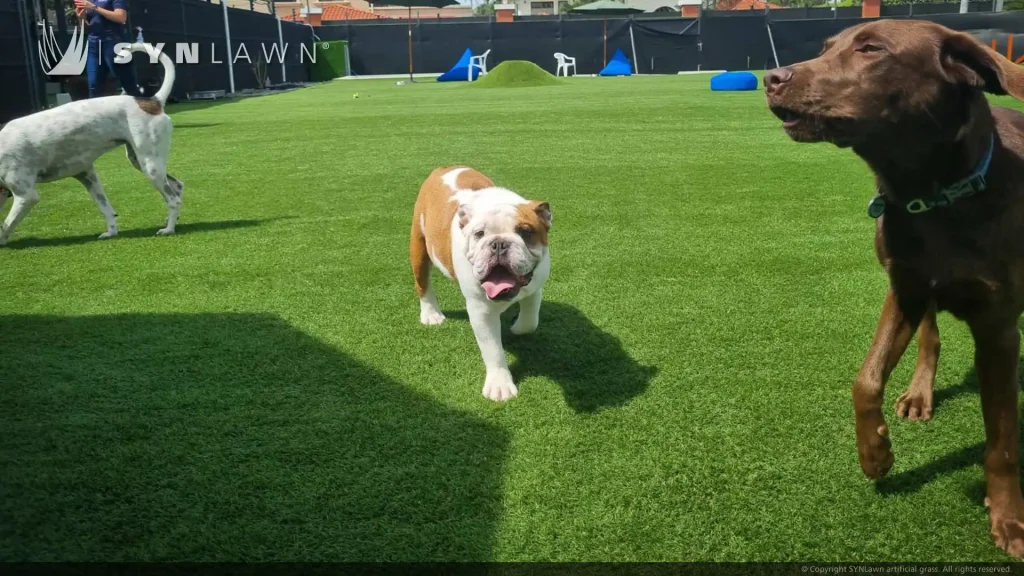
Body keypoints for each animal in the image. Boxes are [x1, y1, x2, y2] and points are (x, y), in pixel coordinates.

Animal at [0, 43, 182, 243]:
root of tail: (152, 101)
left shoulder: (26, 195)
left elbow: (6, 224)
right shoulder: (86, 175)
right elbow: (106, 209)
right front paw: (111, 232)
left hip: (150, 165)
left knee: (173, 199)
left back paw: (169, 229)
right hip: (140, 161)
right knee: (177, 187)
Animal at [409, 165, 552, 399]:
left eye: (525, 231)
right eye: (479, 234)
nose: (499, 244)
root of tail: (444, 168)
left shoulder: (534, 287)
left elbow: (530, 322)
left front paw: (517, 326)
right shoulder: (481, 311)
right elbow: (492, 350)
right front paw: (500, 385)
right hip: (419, 247)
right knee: (423, 284)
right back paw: (431, 315)